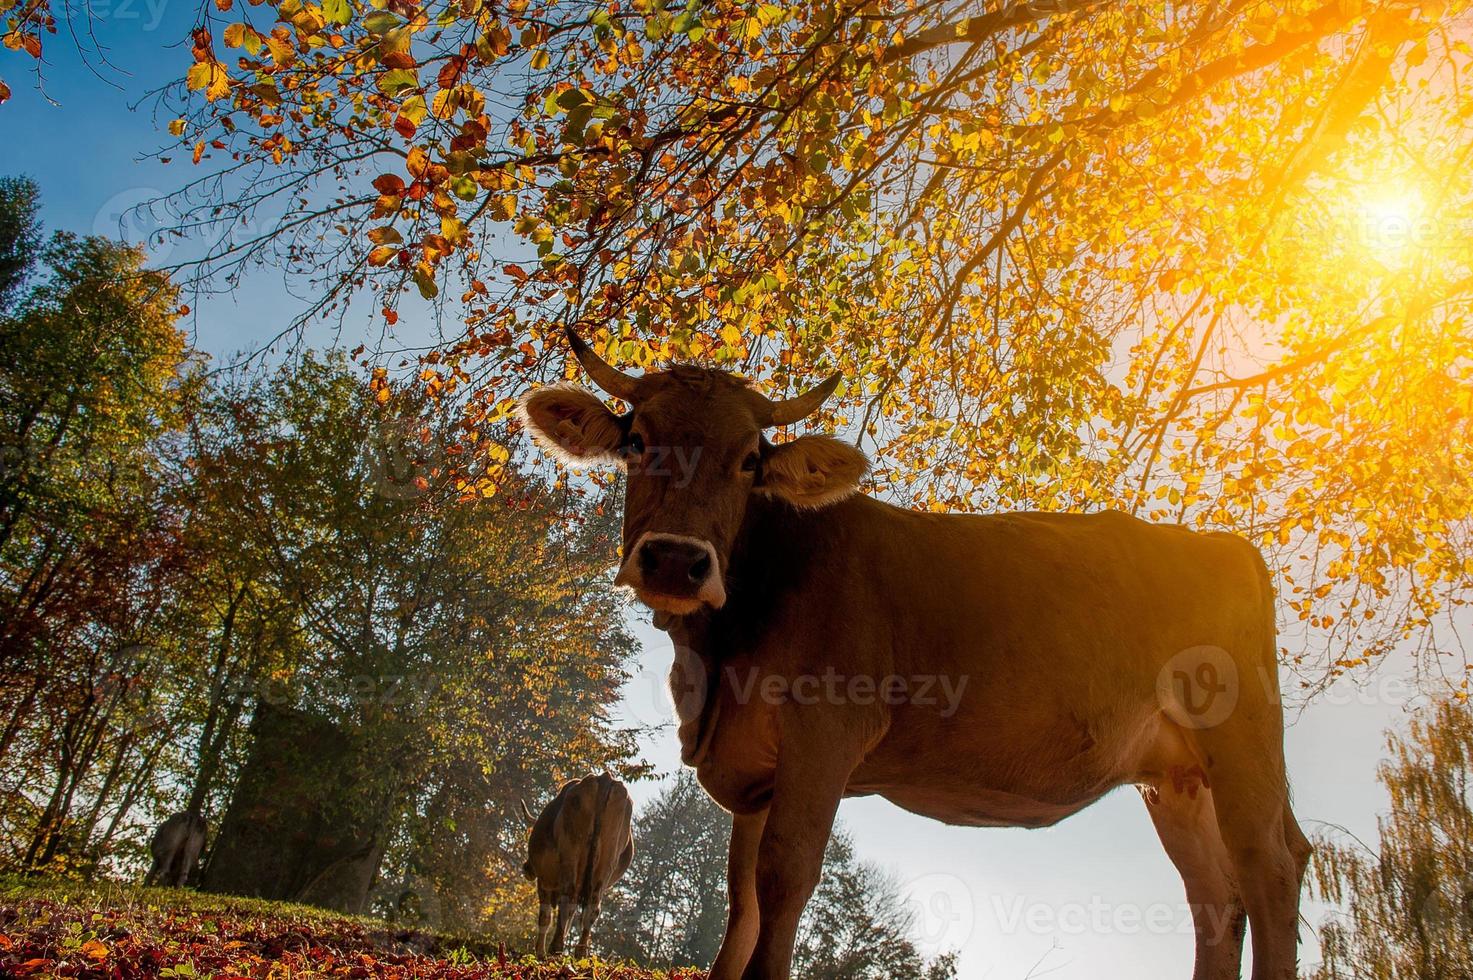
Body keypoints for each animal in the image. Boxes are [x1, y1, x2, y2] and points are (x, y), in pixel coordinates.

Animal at [521, 772, 630, 954]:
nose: (527, 868)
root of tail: (604, 778)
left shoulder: (544, 882)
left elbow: (545, 916)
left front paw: (539, 952)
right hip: (607, 863)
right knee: (593, 907)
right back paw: (580, 952)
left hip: (571, 854)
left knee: (568, 899)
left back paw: (555, 948)